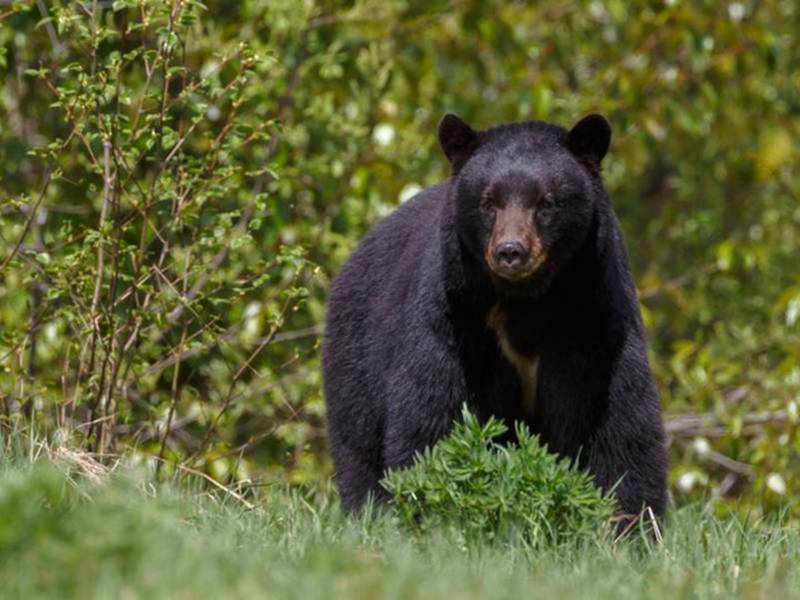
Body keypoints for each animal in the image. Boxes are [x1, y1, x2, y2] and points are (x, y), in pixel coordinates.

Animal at [322, 113, 668, 519]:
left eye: (545, 202)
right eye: (489, 202)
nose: (510, 252)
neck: (525, 301)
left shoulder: (594, 313)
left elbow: (616, 421)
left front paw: (630, 520)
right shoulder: (454, 316)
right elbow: (435, 412)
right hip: (357, 351)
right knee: (357, 442)